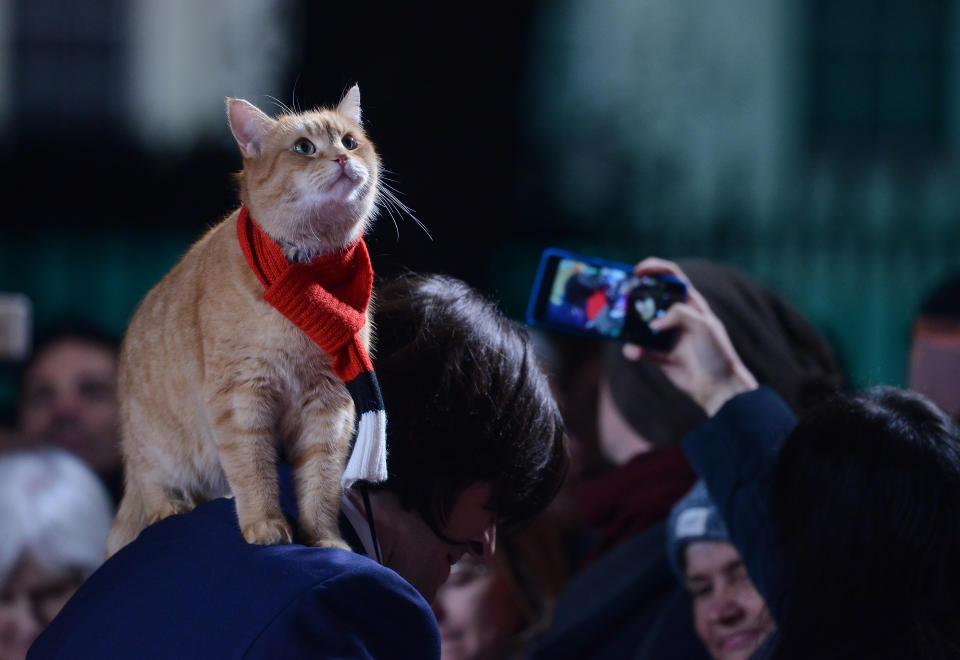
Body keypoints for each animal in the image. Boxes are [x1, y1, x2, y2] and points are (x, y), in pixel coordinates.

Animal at [108, 86, 382, 556]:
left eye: (350, 142)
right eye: (304, 148)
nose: (342, 160)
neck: (309, 272)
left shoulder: (329, 407)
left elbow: (321, 484)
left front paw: (324, 540)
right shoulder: (241, 396)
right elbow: (254, 472)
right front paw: (265, 525)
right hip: (155, 447)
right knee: (151, 484)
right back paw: (169, 507)